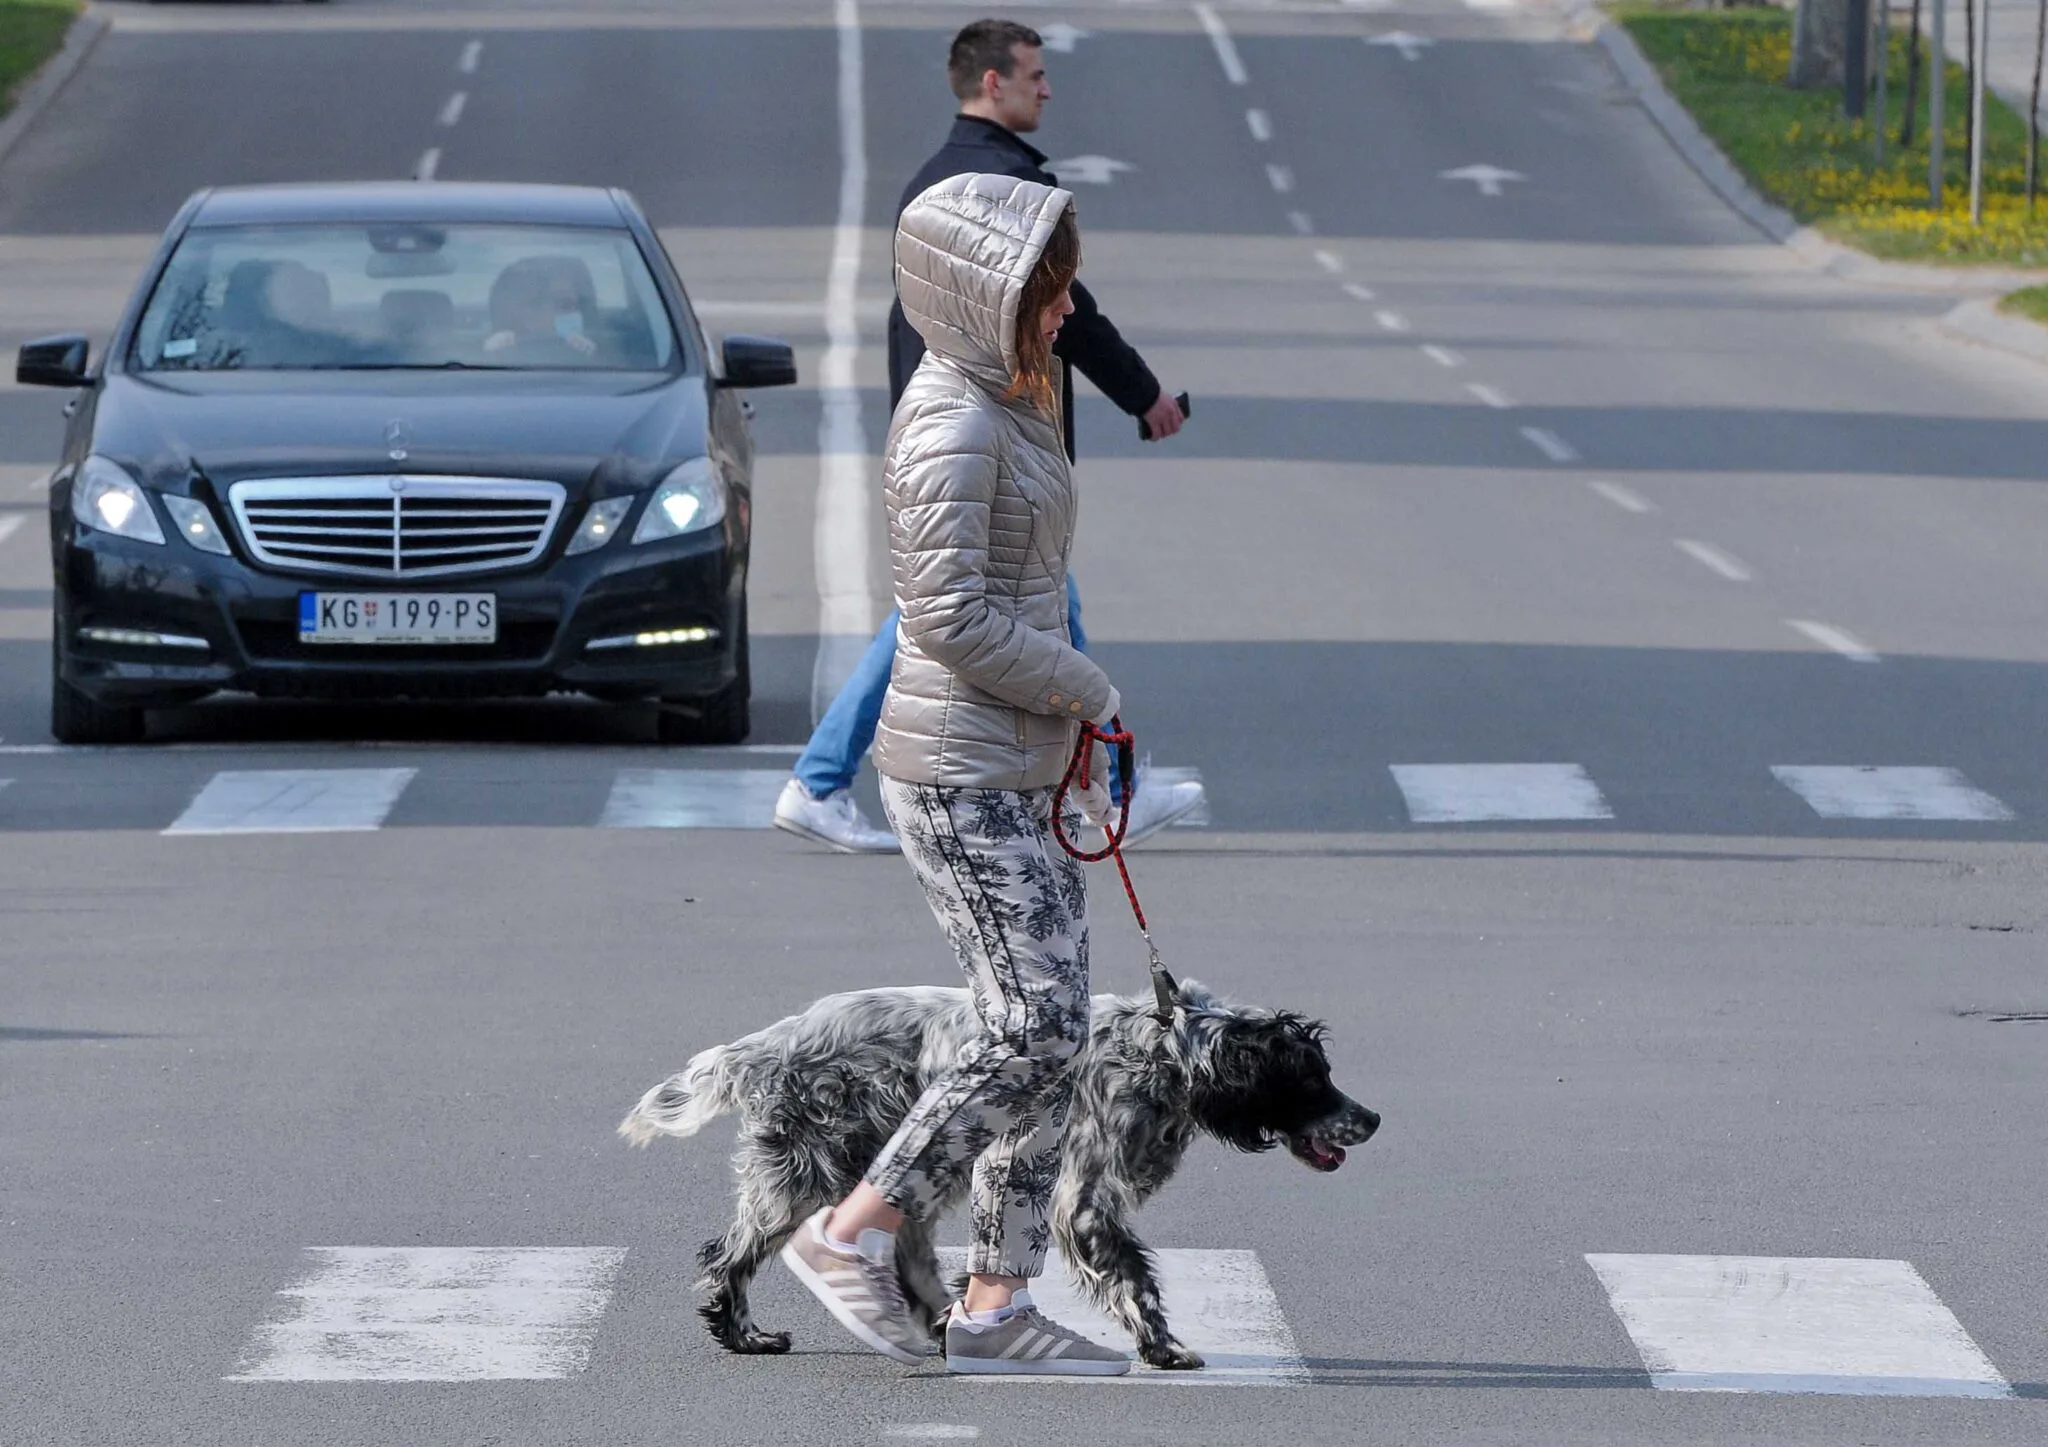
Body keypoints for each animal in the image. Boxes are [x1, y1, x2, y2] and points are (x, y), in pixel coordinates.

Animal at [614, 974, 1384, 1367]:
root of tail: (764, 1046)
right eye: (1312, 1079)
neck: (1162, 1050)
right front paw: (1163, 1346)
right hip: (812, 1168)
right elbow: (1135, 1278)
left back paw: (934, 1326)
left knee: (902, 1253)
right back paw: (745, 1334)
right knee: (730, 1257)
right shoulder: (1083, 1199)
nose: (1372, 1119)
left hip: (912, 1166)